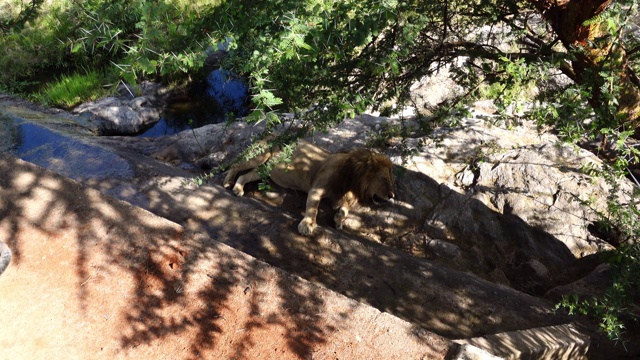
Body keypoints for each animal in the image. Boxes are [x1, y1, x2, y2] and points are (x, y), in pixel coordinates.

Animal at [224, 139, 396, 235]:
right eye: (384, 179)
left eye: (390, 181)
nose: (391, 195)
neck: (352, 181)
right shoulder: (317, 189)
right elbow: (313, 207)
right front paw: (307, 225)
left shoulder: (337, 199)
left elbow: (345, 210)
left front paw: (338, 221)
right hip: (260, 156)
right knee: (236, 165)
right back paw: (227, 182)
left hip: (266, 169)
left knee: (246, 175)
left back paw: (238, 188)